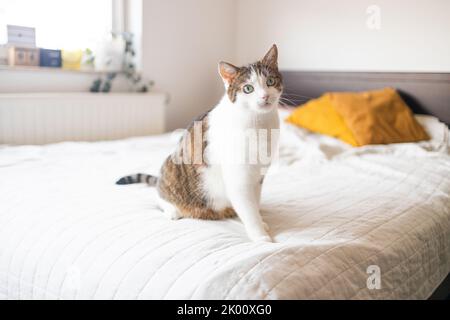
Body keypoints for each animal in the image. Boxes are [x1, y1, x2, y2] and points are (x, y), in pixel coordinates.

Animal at [118, 43, 284, 241]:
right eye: (248, 89)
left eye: (270, 81)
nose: (265, 97)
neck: (259, 122)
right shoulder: (238, 177)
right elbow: (248, 207)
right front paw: (260, 236)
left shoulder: (258, 175)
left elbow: (254, 203)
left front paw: (261, 222)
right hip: (171, 165)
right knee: (158, 196)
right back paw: (172, 210)